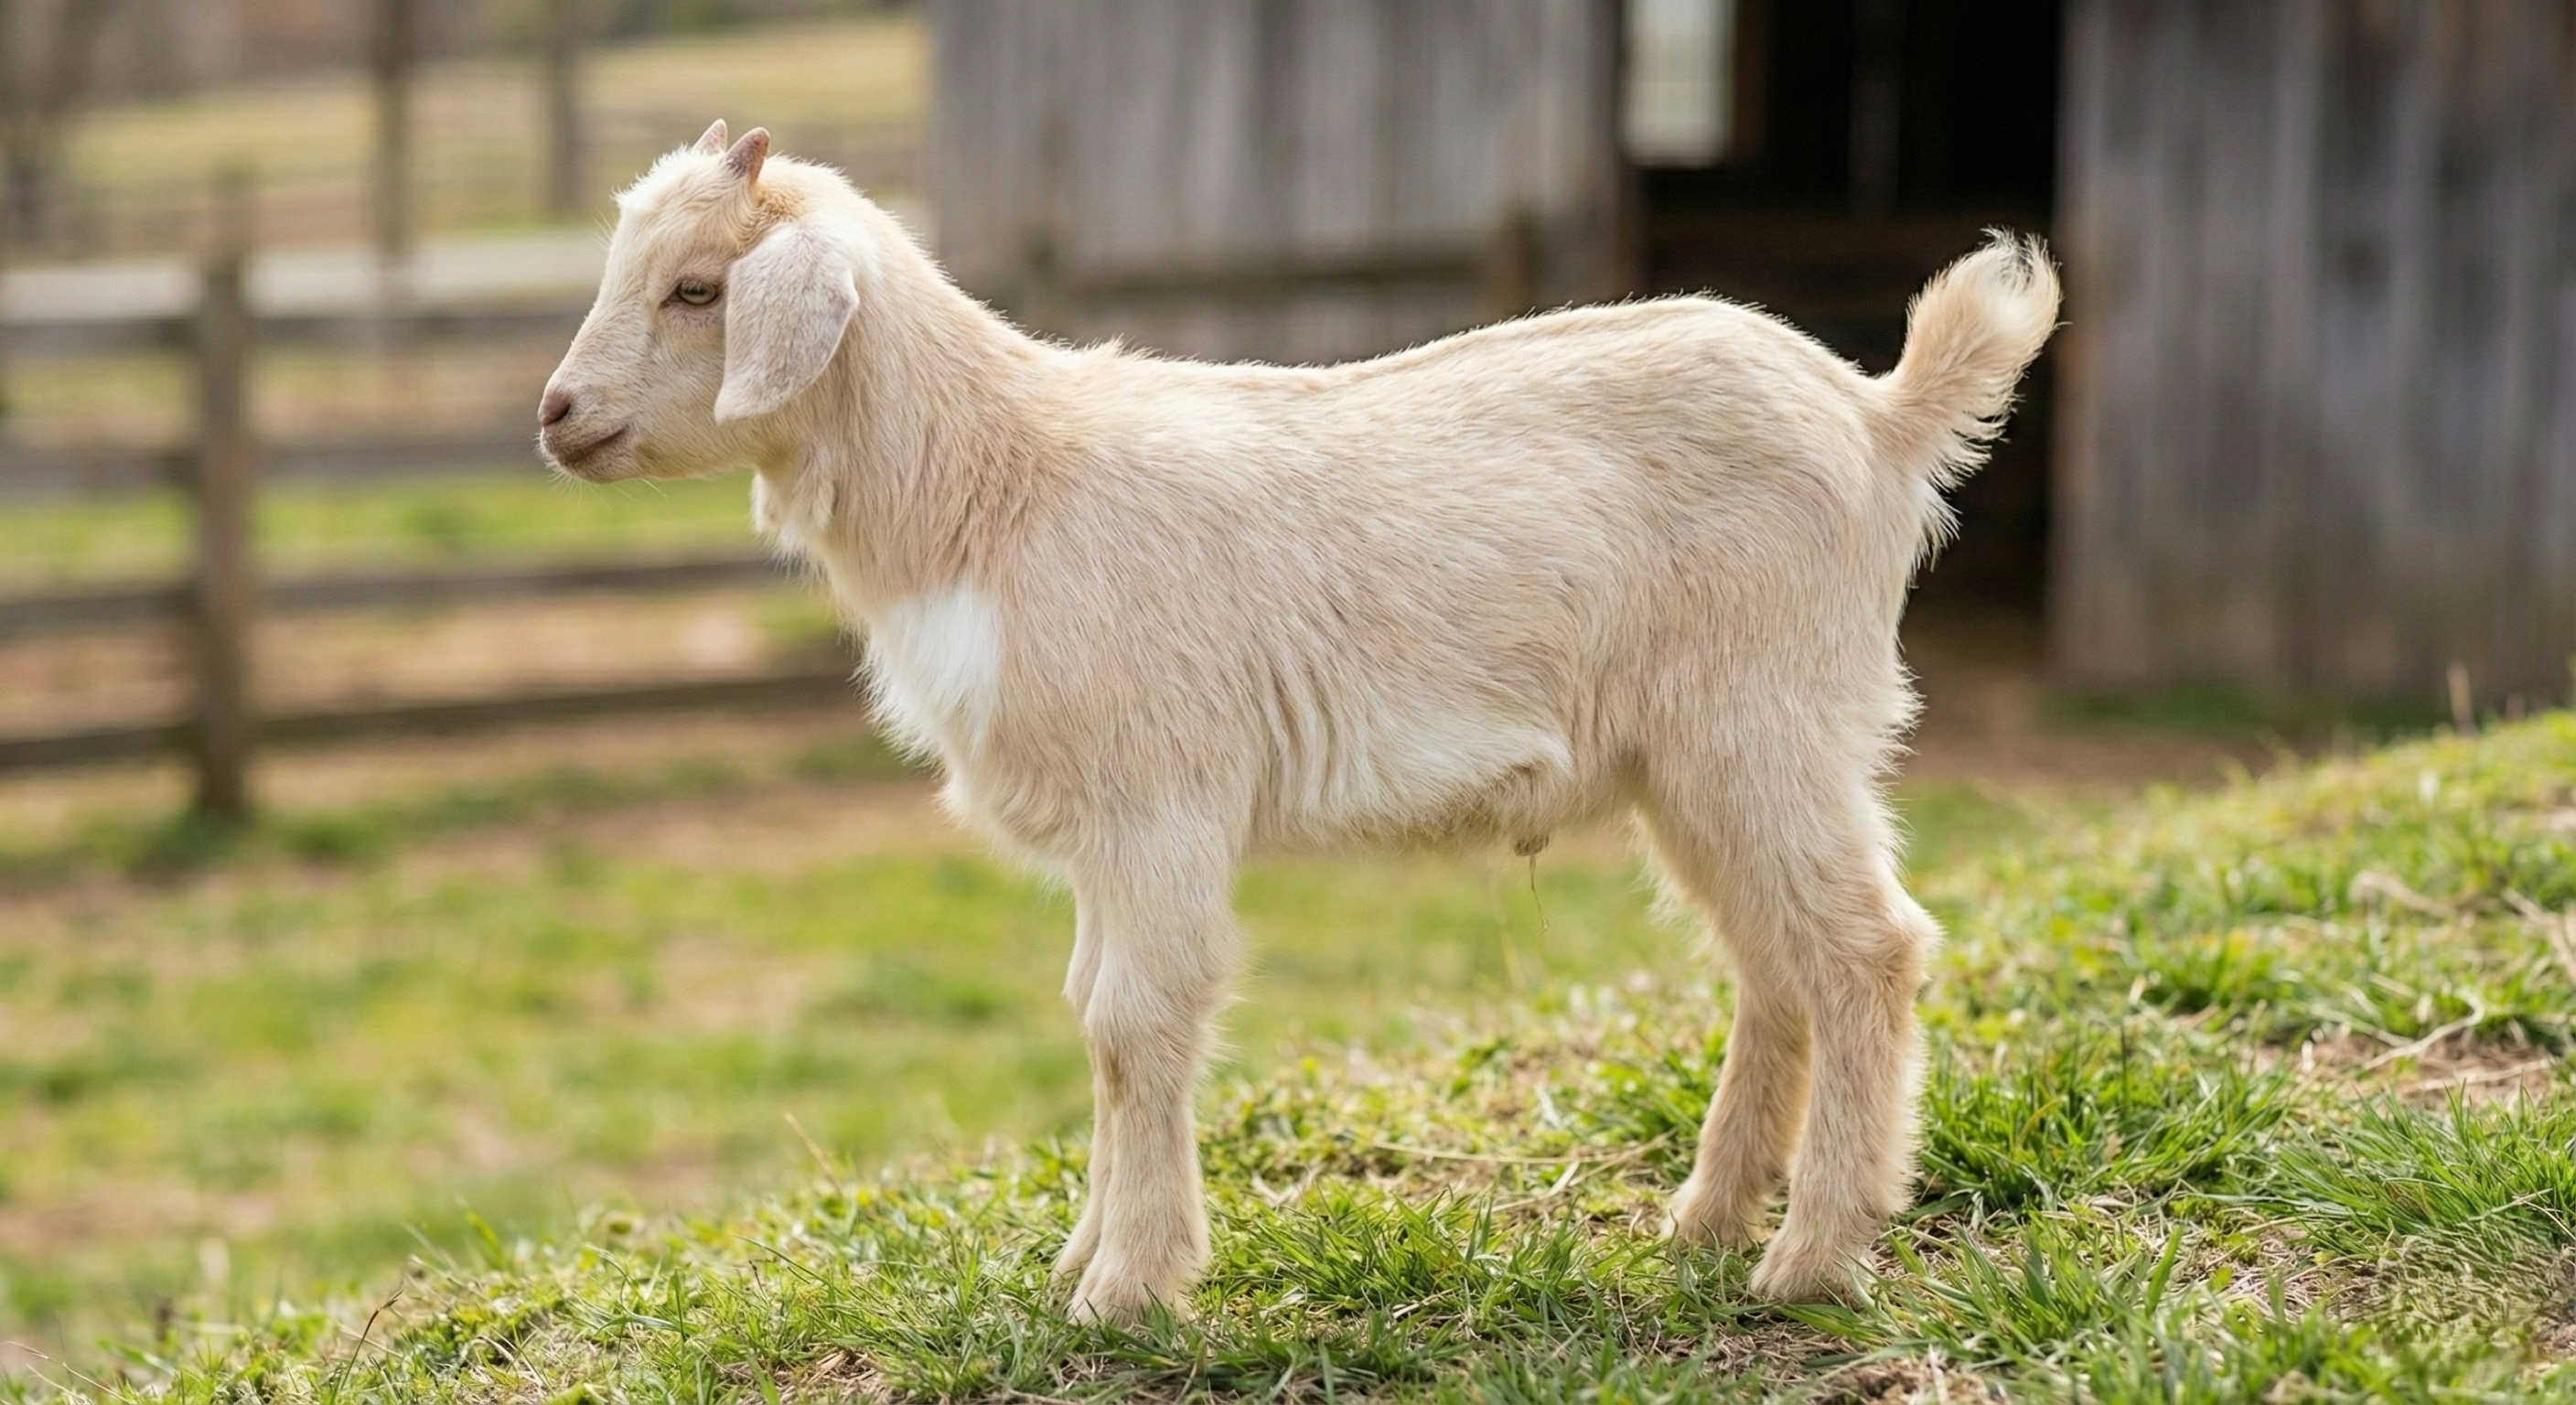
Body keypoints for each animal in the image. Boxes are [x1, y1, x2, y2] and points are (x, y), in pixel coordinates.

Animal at [540, 122, 2060, 1322]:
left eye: (696, 288)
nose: (557, 417)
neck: (998, 486)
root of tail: (1881, 415)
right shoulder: (1104, 828)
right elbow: (1092, 1013)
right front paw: (1083, 1256)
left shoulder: (1158, 796)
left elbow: (1138, 1018)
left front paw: (1127, 1289)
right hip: (1690, 762)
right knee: (1770, 964)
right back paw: (1706, 1222)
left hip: (1767, 718)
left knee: (1865, 949)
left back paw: (1812, 1258)